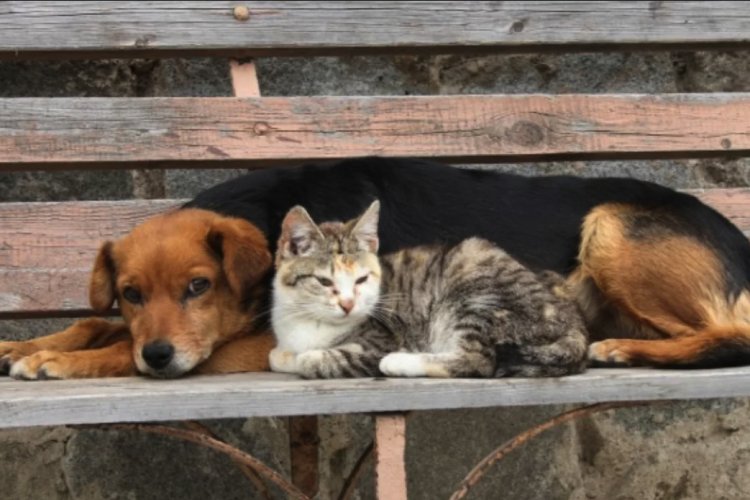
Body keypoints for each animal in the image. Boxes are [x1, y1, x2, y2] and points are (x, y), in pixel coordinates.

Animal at [0, 208, 276, 378]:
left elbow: (124, 348)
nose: (156, 355)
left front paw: (58, 359)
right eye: (131, 293)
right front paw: (18, 347)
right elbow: (95, 325)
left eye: (198, 285)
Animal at [268, 199, 592, 378]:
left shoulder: (379, 340)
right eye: (324, 281)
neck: (309, 322)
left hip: (477, 290)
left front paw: (305, 358)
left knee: (478, 360)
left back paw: (399, 363)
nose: (348, 304)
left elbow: (312, 359)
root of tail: (575, 324)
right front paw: (285, 355)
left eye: (361, 280)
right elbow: (277, 356)